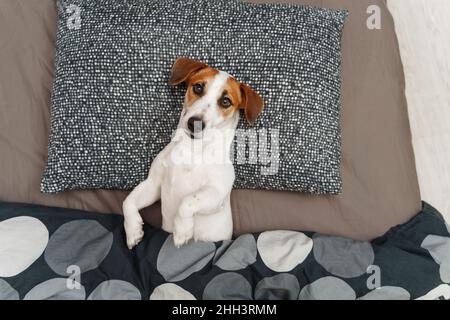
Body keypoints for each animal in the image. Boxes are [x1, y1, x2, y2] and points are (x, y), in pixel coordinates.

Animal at [122, 57, 264, 249]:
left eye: (226, 101)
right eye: (198, 87)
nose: (194, 123)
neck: (191, 149)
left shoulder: (216, 194)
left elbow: (187, 201)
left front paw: (182, 231)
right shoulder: (153, 185)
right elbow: (127, 202)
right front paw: (133, 231)